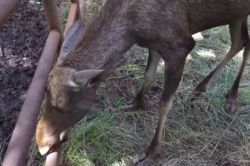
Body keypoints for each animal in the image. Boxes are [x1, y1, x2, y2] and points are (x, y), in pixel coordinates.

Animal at [35, 0, 250, 165]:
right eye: (44, 93)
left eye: (62, 106)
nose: (42, 144)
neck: (132, 30)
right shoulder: (153, 44)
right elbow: (148, 74)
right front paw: (135, 104)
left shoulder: (181, 45)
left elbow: (164, 104)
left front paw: (151, 153)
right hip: (238, 14)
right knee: (241, 42)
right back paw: (203, 89)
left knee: (242, 42)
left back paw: (231, 97)